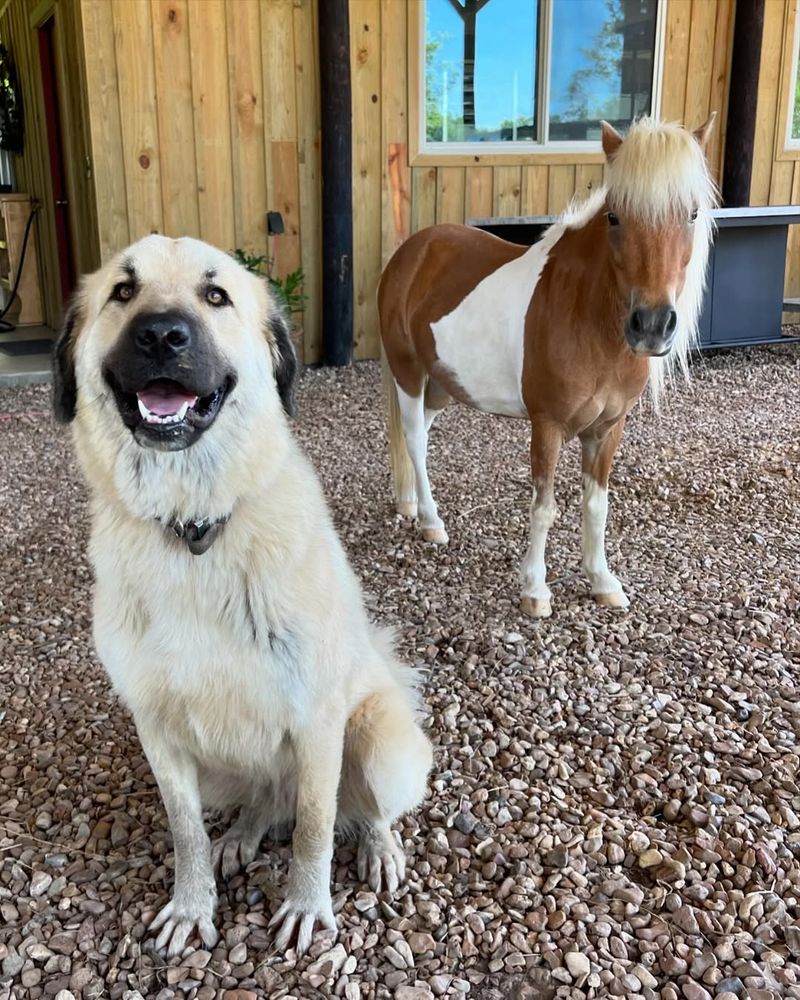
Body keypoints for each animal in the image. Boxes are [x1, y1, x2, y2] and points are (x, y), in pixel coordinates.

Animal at [53, 236, 432, 960]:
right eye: (123, 291)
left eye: (216, 295)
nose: (161, 335)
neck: (194, 528)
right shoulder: (159, 728)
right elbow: (185, 832)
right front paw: (192, 904)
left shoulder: (317, 721)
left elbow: (313, 827)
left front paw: (307, 907)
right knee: (262, 798)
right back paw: (242, 836)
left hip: (381, 741)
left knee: (365, 808)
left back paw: (379, 848)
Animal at [380, 117, 720, 616]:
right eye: (614, 216)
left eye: (692, 214)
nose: (653, 326)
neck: (586, 315)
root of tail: (412, 251)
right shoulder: (549, 425)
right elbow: (544, 506)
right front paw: (535, 590)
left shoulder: (608, 428)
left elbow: (596, 506)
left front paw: (602, 581)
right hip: (408, 371)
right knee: (416, 440)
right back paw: (430, 521)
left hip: (441, 383)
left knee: (416, 436)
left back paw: (410, 505)